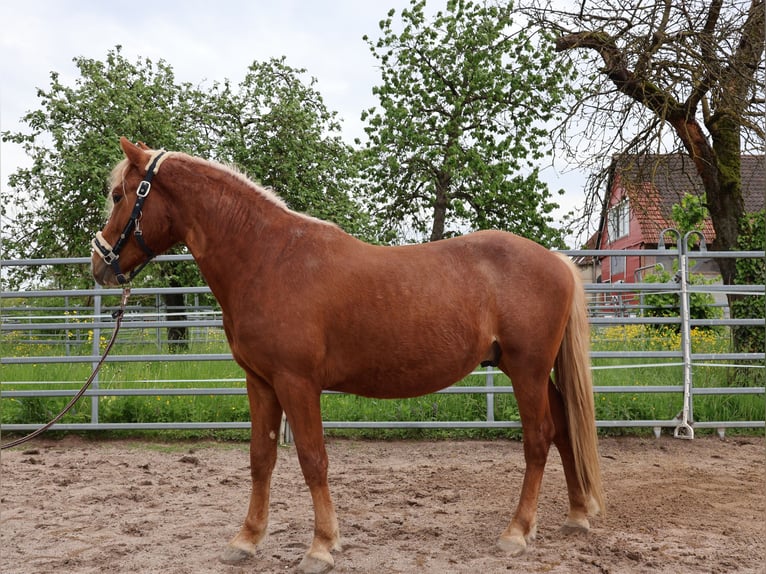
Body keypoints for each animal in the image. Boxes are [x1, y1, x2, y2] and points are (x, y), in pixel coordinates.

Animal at [92, 137, 604, 573]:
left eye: (118, 195)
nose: (99, 263)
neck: (268, 258)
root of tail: (558, 262)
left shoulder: (297, 383)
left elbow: (313, 459)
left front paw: (321, 546)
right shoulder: (260, 383)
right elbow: (261, 458)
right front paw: (247, 540)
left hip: (526, 370)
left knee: (538, 439)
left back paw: (517, 532)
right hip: (534, 372)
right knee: (564, 429)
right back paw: (577, 515)